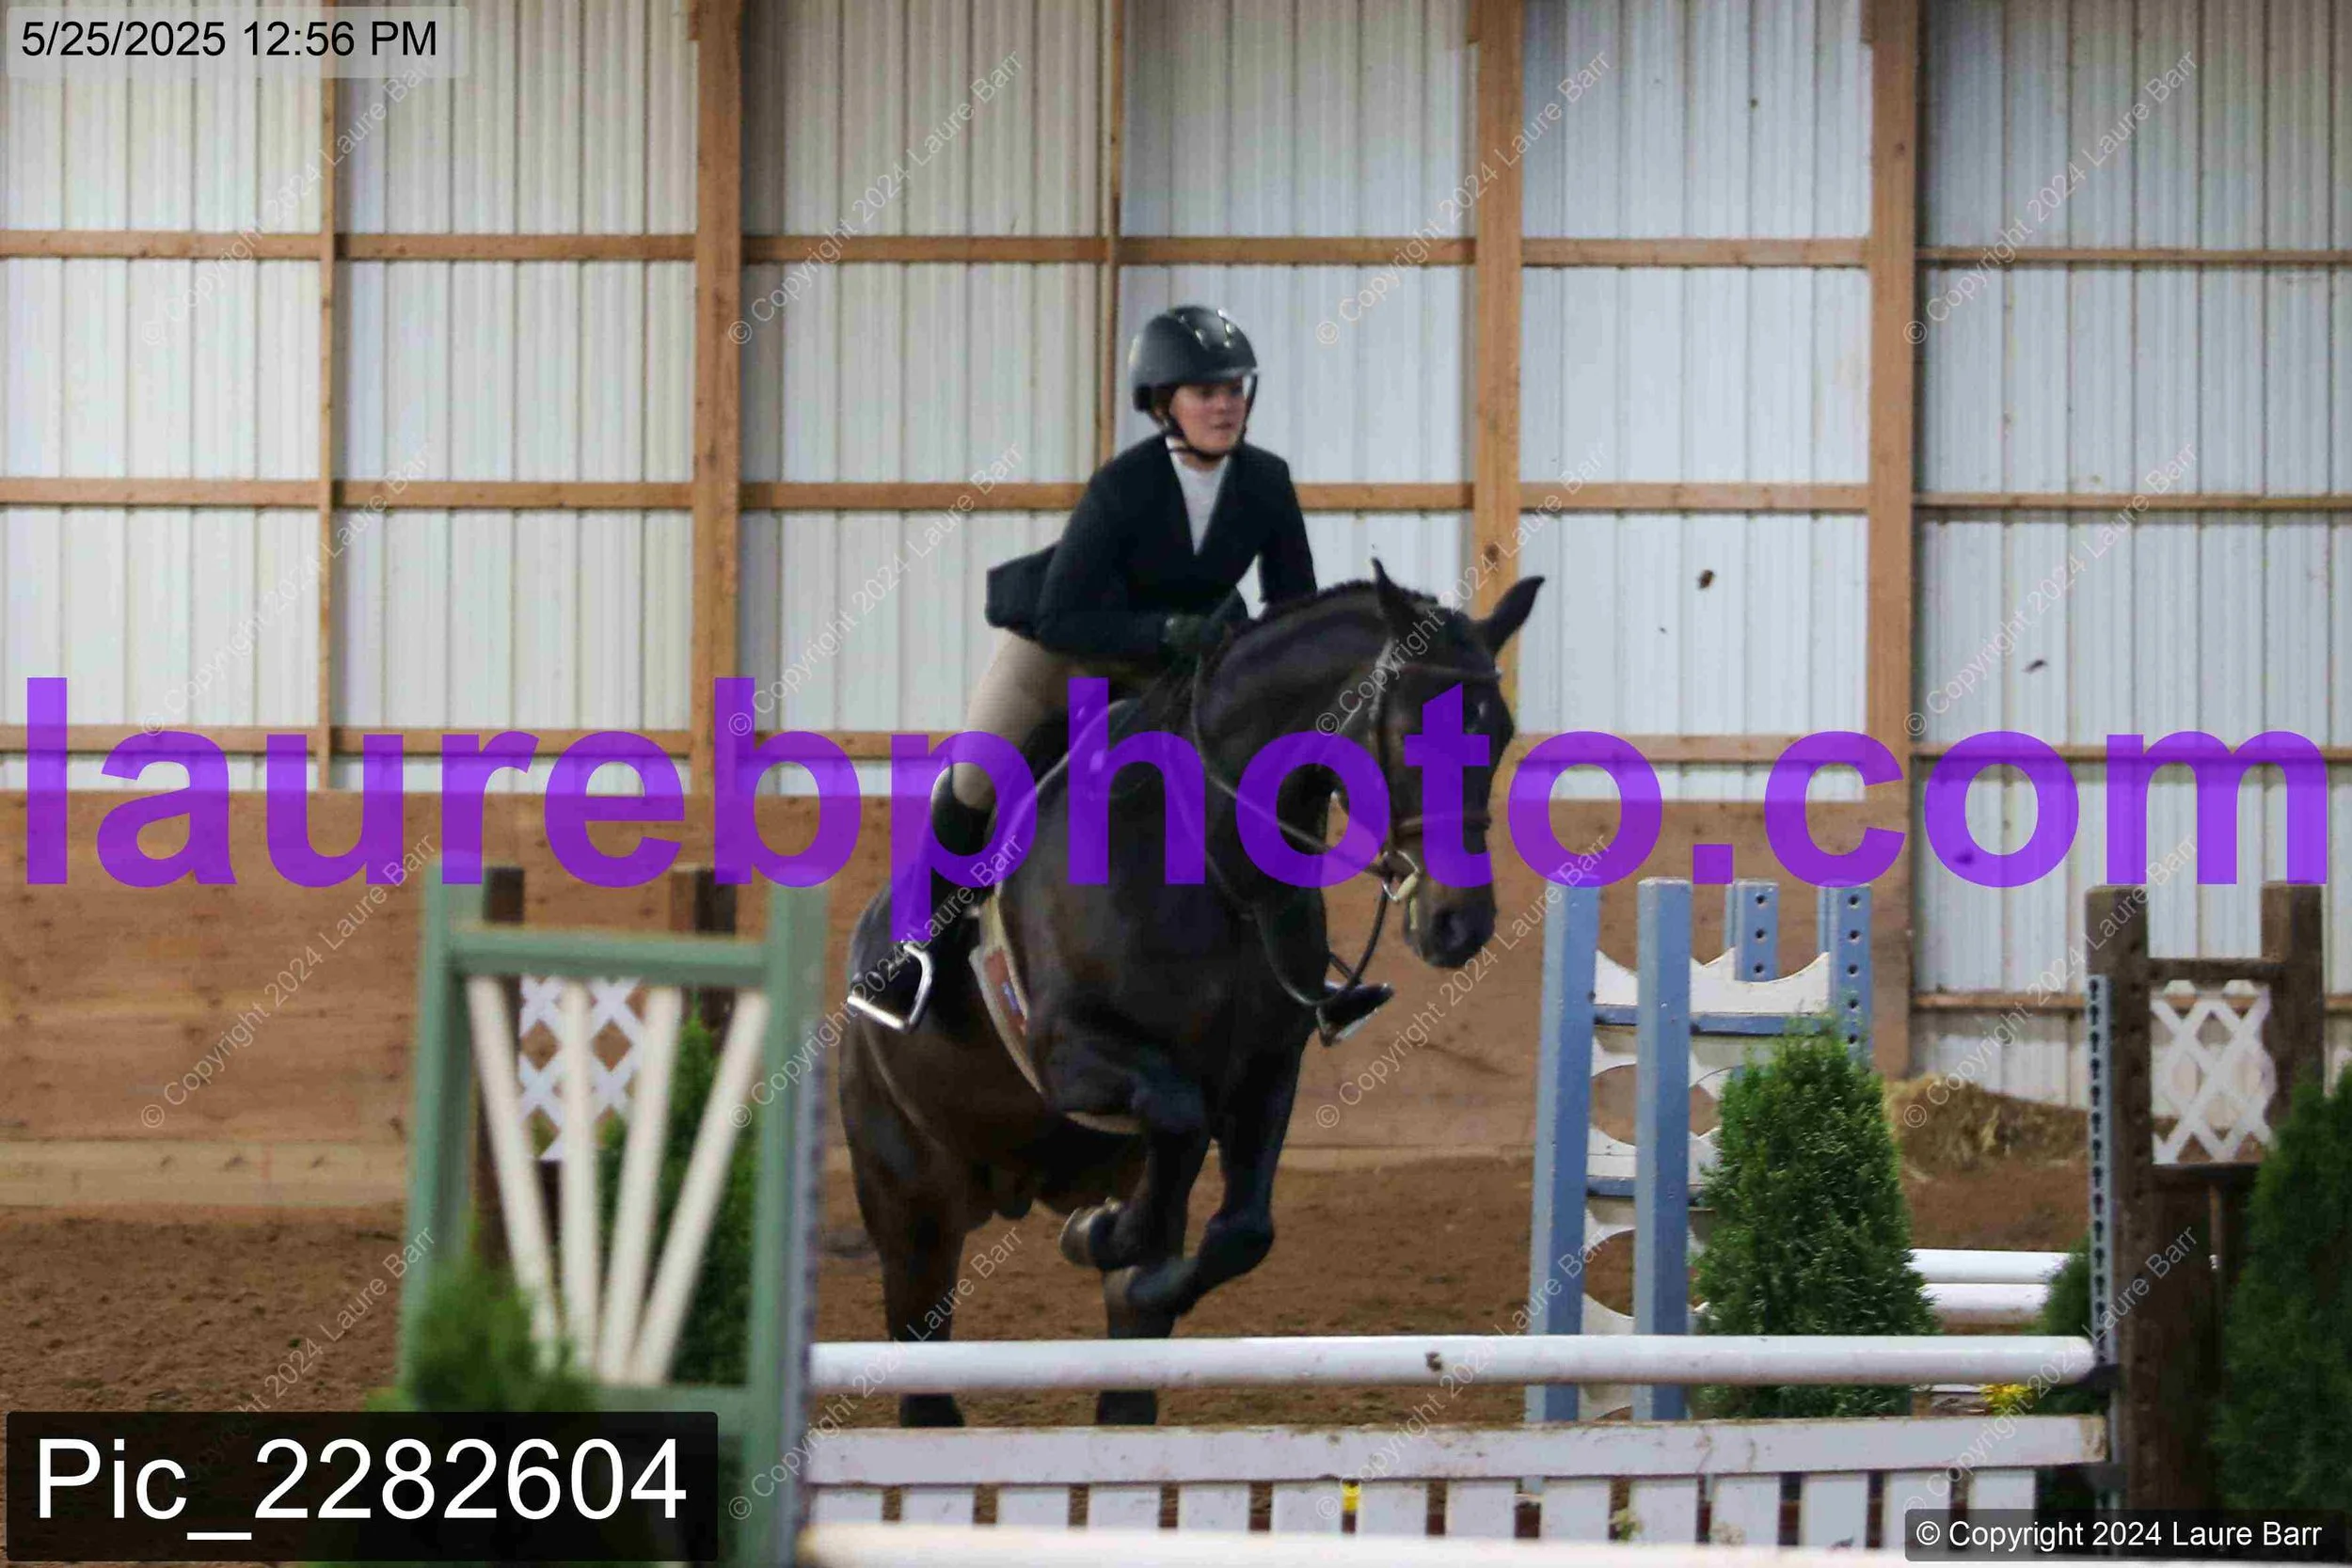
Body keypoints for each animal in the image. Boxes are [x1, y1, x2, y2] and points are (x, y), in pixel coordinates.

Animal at [836, 562, 1544, 1426]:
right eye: (1413, 730)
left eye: (1500, 733)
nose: (1458, 924)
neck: (1218, 868)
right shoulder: (1070, 1051)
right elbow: (1175, 1114)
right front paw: (1101, 1235)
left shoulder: (1268, 1069)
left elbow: (1243, 1229)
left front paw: (1127, 1259)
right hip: (912, 1202)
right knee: (922, 1359)